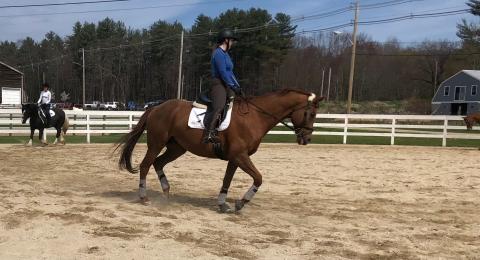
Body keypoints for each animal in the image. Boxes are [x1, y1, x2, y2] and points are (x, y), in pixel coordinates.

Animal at [117, 88, 322, 212]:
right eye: (311, 114)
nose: (307, 139)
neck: (255, 116)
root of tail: (157, 107)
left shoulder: (235, 158)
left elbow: (227, 180)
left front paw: (223, 204)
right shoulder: (240, 156)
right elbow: (258, 178)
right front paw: (241, 203)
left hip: (177, 148)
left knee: (158, 163)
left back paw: (166, 193)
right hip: (156, 143)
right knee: (146, 165)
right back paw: (144, 197)